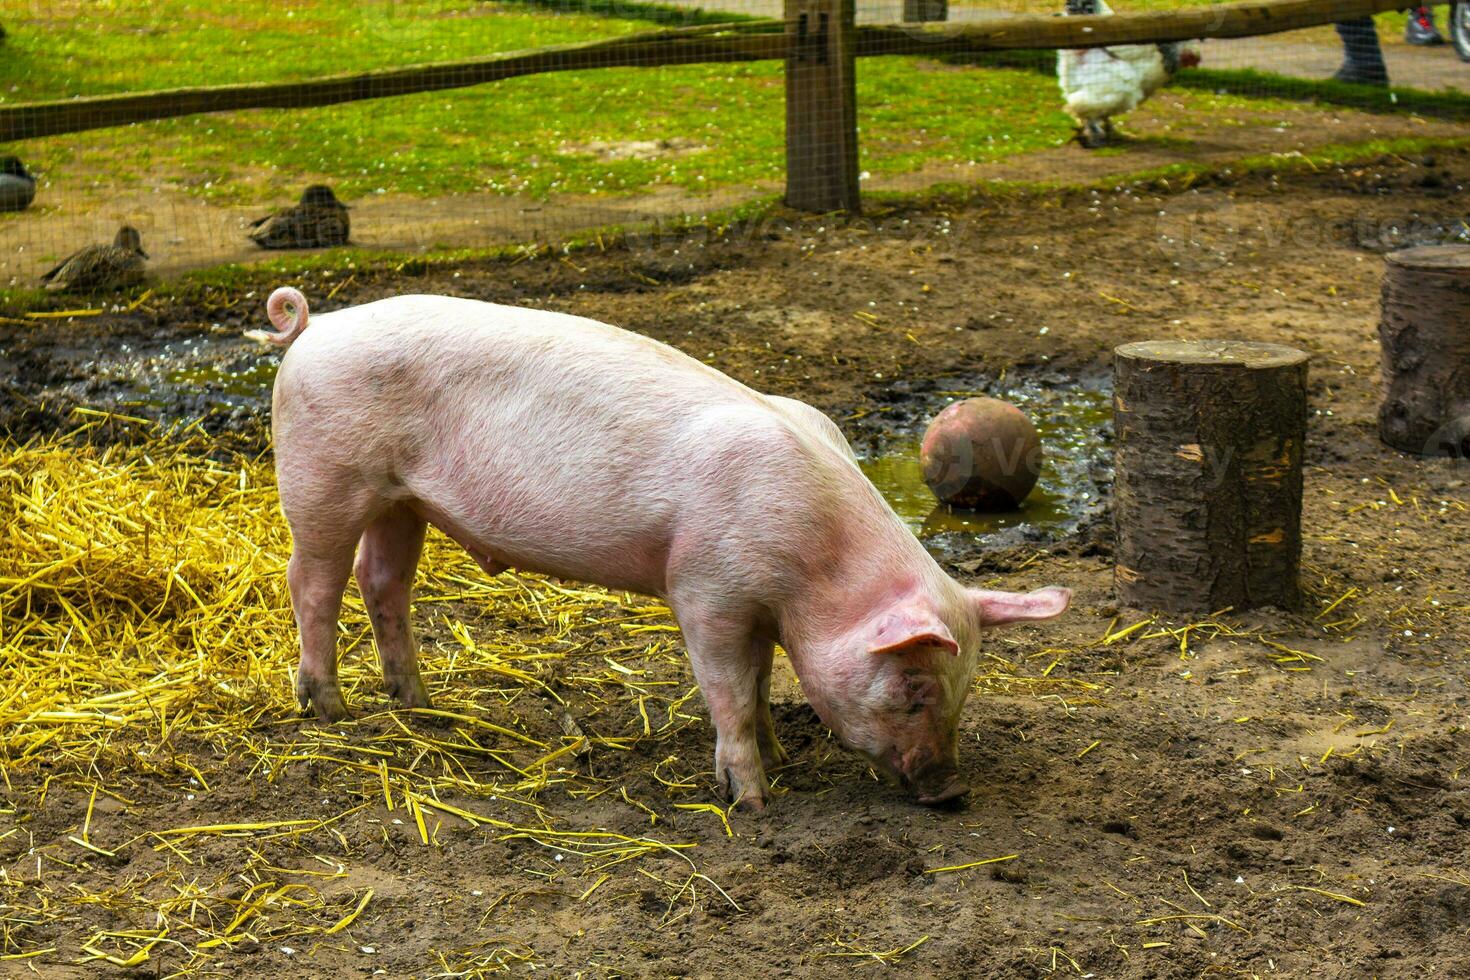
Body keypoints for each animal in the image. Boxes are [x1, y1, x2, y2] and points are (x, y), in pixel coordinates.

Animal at [258, 287, 1076, 811]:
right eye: (911, 688)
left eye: (962, 689)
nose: (954, 791)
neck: (812, 571)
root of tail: (316, 327)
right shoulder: (705, 591)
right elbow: (727, 689)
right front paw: (753, 800)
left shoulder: (757, 611)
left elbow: (760, 680)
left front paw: (778, 753)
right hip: (325, 477)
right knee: (313, 582)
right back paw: (328, 708)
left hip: (403, 499)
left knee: (383, 581)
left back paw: (420, 703)